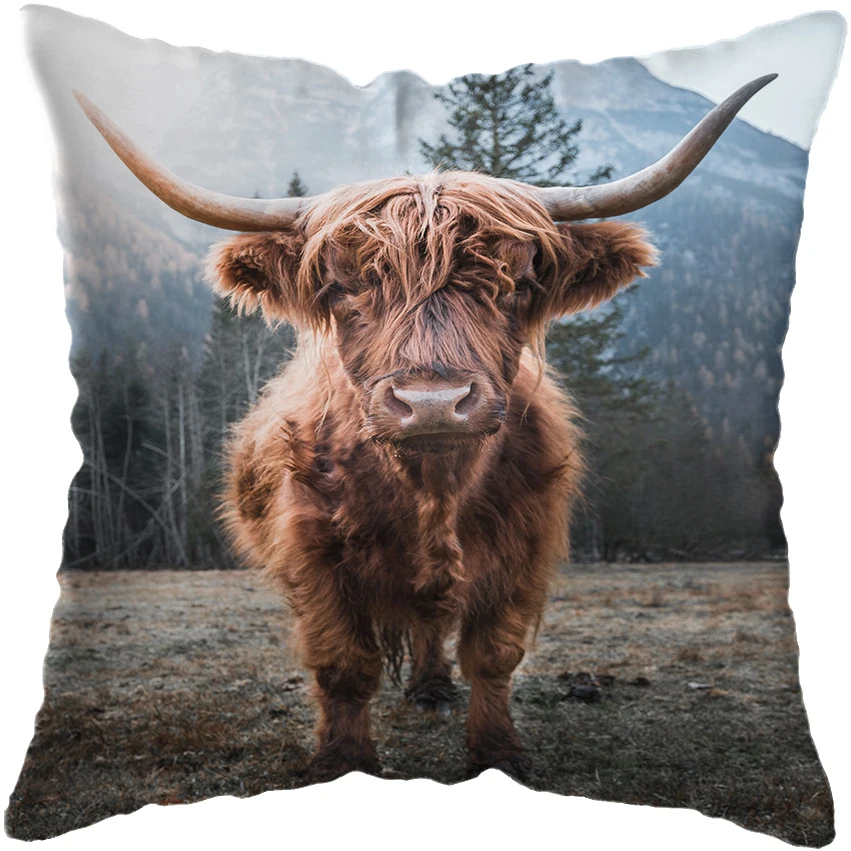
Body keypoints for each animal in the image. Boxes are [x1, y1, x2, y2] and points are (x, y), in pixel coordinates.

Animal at [75, 74, 775, 783]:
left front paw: (498, 752)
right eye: (341, 286)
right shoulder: (313, 555)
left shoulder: (524, 549)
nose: (434, 402)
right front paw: (343, 760)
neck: (433, 489)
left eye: (517, 282)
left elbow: (493, 656)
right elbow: (344, 666)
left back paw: (433, 688)